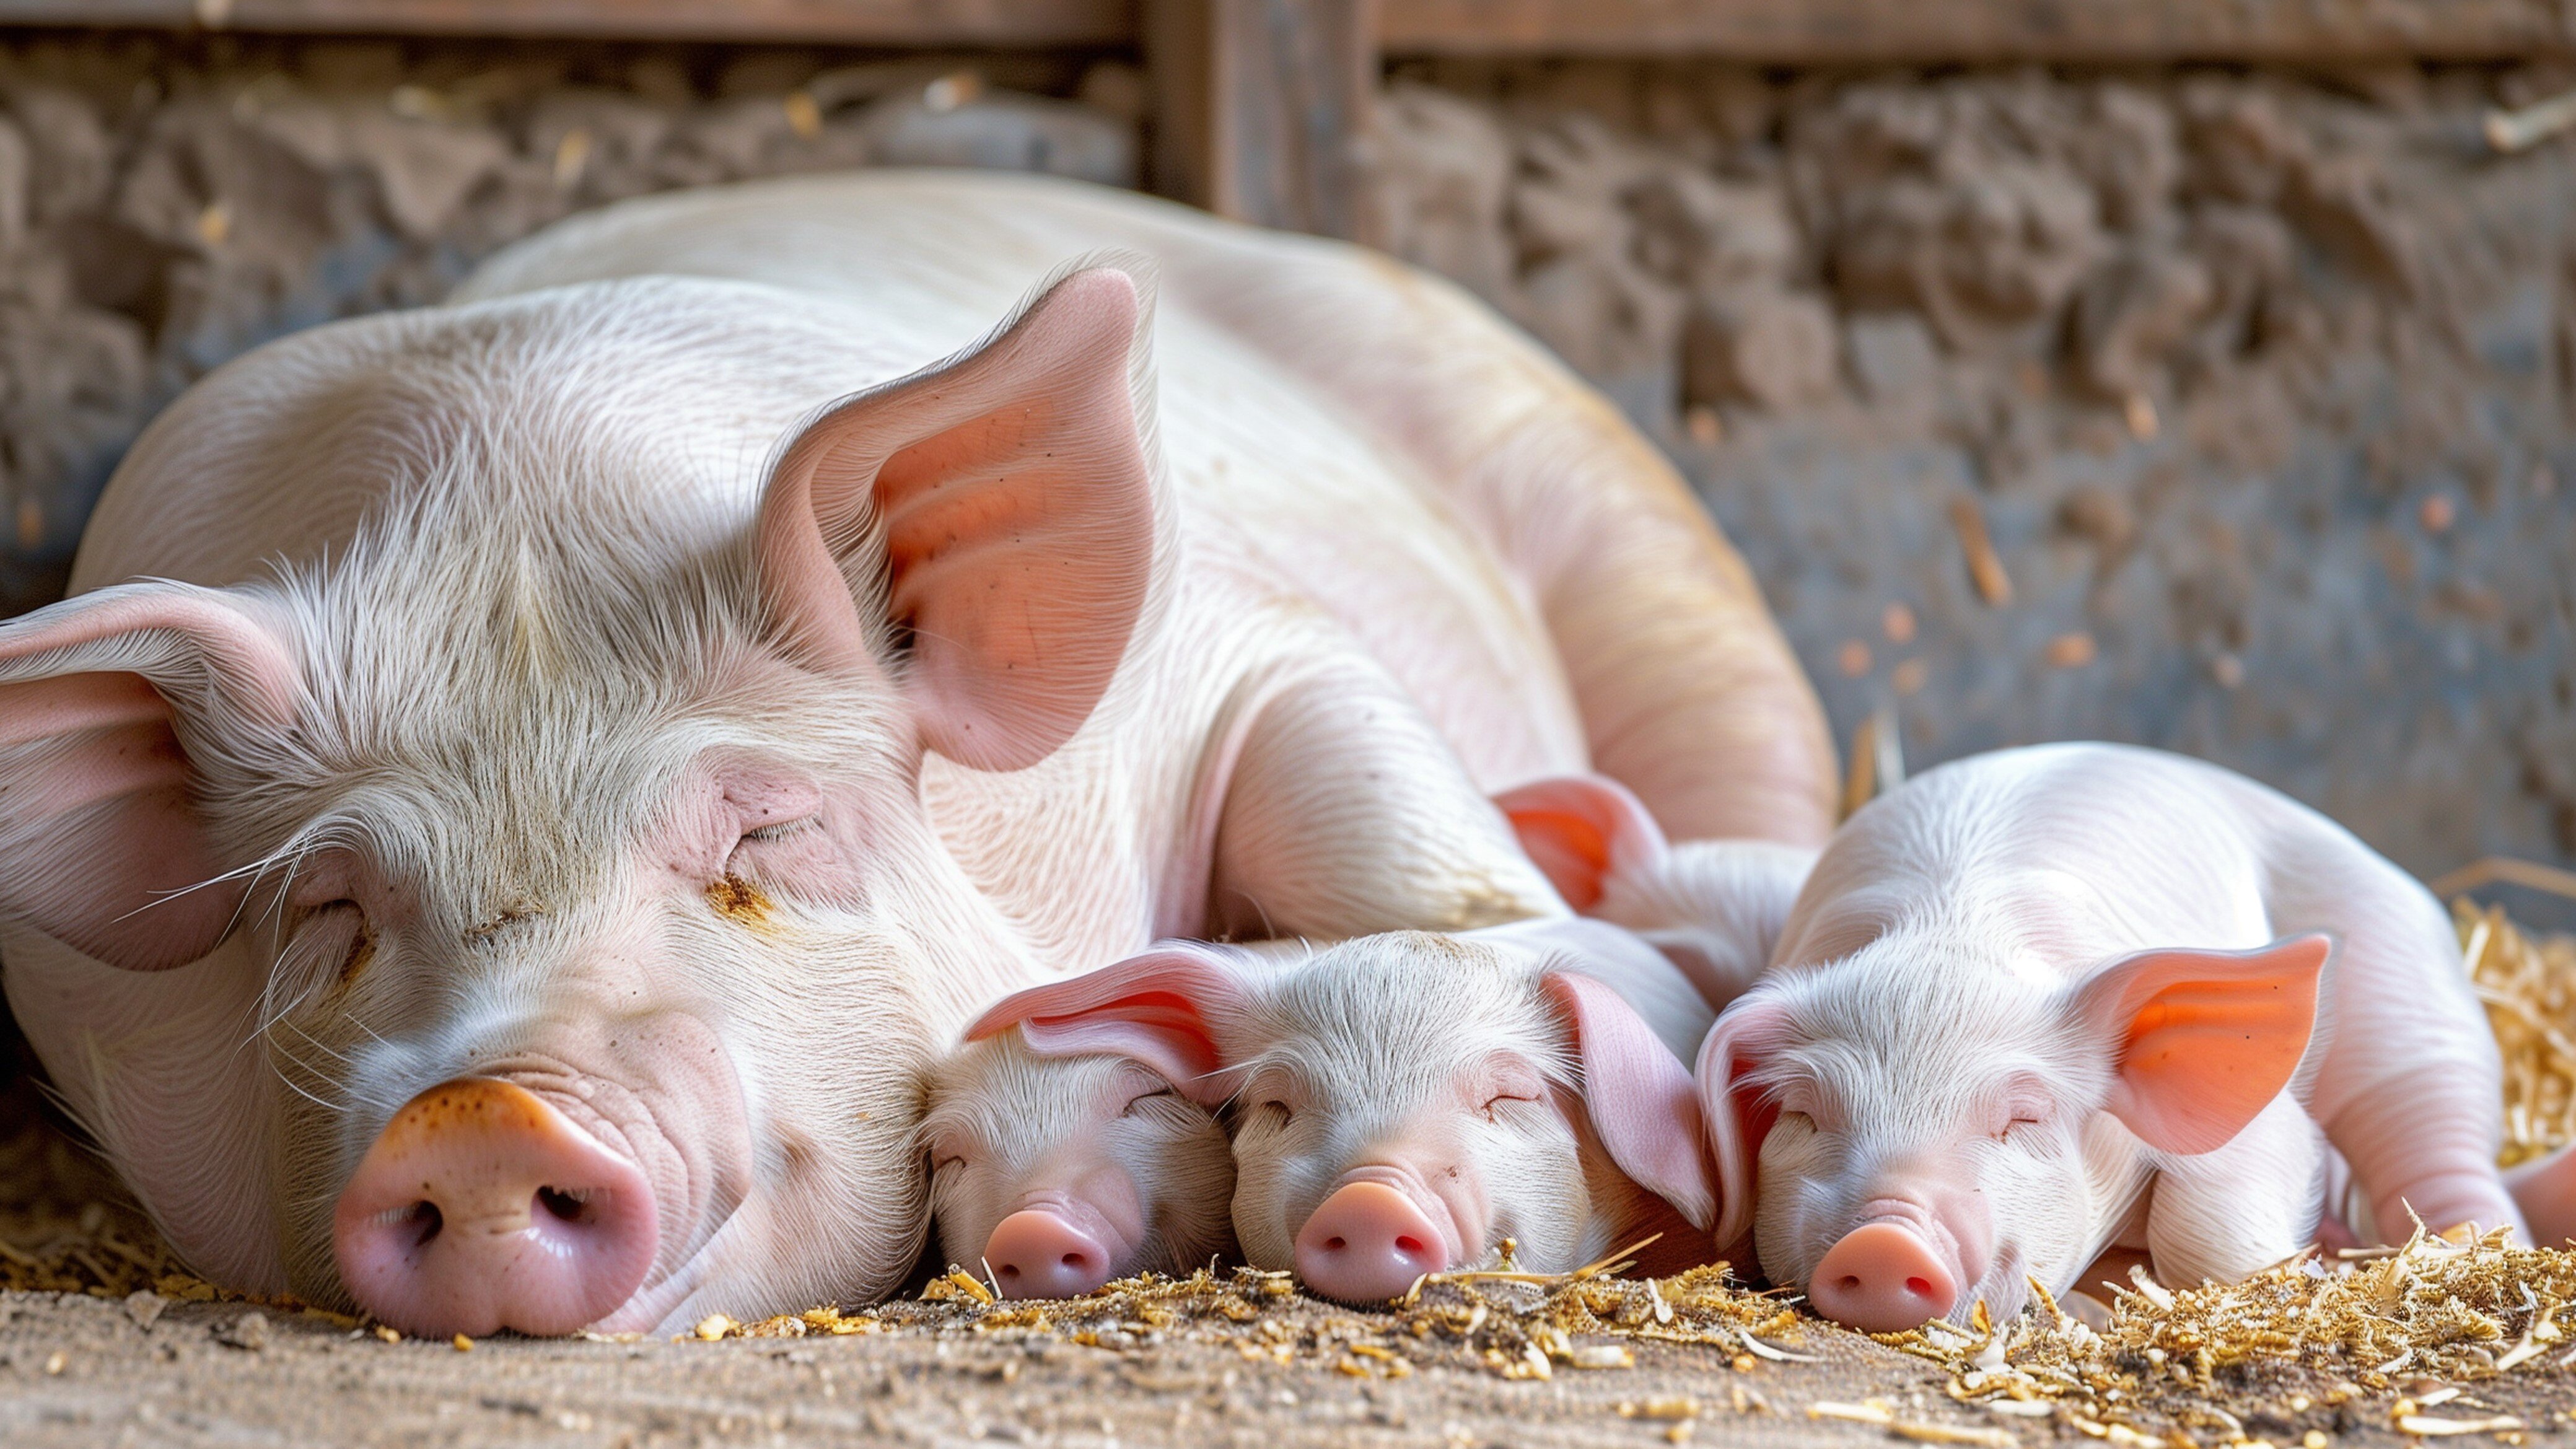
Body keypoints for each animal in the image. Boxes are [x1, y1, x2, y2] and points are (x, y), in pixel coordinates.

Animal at [0, 170, 1834, 1338]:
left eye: (769, 842)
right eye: (331, 912)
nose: (487, 1115)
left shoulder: (1244, 640)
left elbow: (1388, 838)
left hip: (1641, 540)